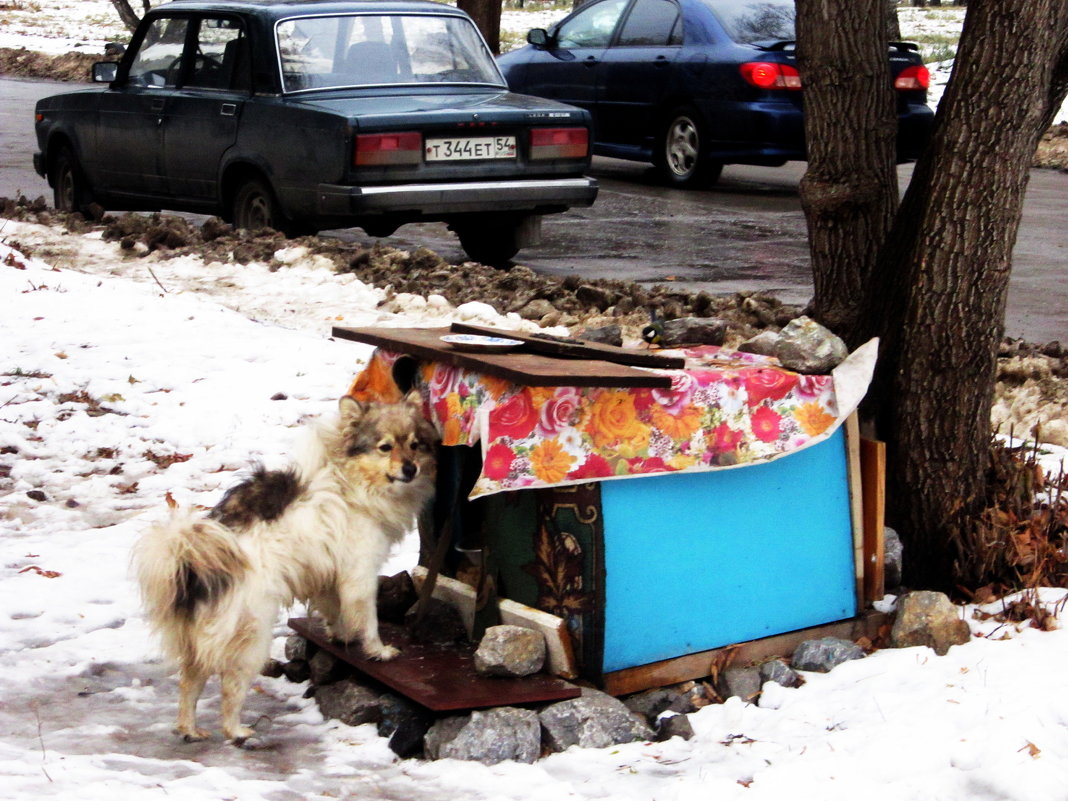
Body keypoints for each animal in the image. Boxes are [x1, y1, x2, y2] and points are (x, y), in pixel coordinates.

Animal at [132, 395, 433, 747]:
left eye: (414, 445)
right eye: (385, 447)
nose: (411, 468)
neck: (350, 479)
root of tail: (192, 561)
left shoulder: (329, 573)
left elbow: (336, 610)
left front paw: (340, 634)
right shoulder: (360, 572)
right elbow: (368, 619)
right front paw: (378, 651)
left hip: (200, 638)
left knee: (190, 682)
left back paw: (190, 729)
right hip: (252, 634)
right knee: (230, 687)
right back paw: (236, 730)